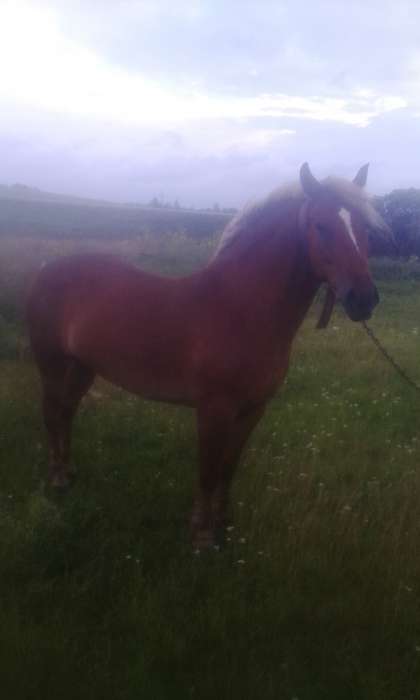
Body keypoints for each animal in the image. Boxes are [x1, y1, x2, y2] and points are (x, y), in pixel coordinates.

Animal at [27, 163, 391, 548]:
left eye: (365, 228)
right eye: (320, 226)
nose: (364, 299)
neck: (240, 308)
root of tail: (48, 269)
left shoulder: (253, 408)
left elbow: (228, 466)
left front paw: (223, 523)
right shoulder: (214, 409)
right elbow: (208, 468)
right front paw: (202, 534)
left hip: (83, 366)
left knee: (67, 411)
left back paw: (69, 470)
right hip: (50, 363)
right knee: (52, 413)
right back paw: (57, 478)